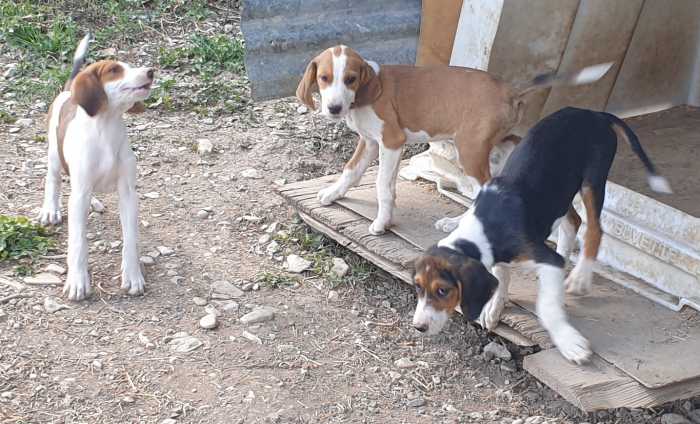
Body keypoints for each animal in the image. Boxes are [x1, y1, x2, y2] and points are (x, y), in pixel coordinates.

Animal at [38, 34, 154, 302]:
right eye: (114, 70)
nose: (151, 71)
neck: (106, 129)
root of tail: (68, 90)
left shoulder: (128, 194)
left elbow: (130, 239)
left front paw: (132, 276)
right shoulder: (79, 192)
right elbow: (79, 243)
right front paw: (78, 282)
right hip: (54, 156)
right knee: (53, 181)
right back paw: (50, 210)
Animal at [296, 46, 612, 235]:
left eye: (350, 78)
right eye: (324, 78)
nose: (334, 108)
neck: (366, 93)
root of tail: (510, 89)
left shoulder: (392, 142)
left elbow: (383, 186)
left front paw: (382, 222)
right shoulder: (370, 142)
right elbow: (350, 171)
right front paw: (333, 194)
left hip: (470, 152)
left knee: (482, 191)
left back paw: (458, 225)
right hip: (503, 145)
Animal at [412, 107, 668, 364]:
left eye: (443, 290)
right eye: (418, 287)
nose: (418, 327)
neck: (485, 226)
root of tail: (594, 113)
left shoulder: (543, 256)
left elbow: (546, 306)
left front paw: (569, 342)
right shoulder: (499, 257)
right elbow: (501, 276)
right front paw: (494, 307)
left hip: (593, 180)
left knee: (594, 229)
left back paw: (580, 277)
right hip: (560, 193)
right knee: (573, 222)